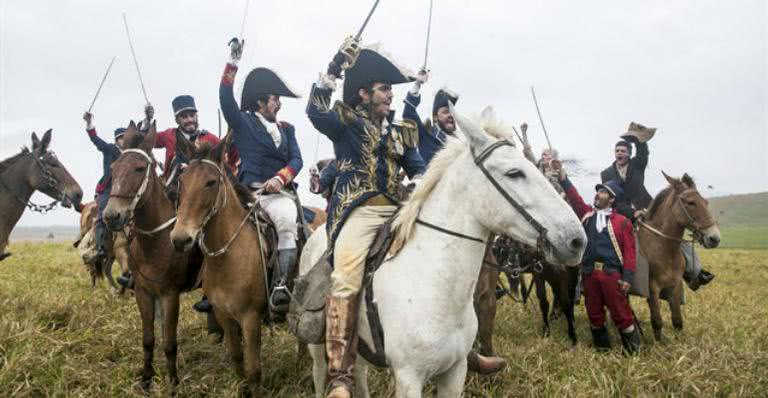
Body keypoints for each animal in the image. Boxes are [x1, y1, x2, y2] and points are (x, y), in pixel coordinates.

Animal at [103, 122, 204, 392]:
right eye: (114, 169)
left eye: (139, 168)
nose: (111, 216)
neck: (156, 241)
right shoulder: (144, 293)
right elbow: (148, 338)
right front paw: (146, 379)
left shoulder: (170, 295)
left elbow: (169, 342)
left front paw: (173, 383)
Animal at [170, 135, 268, 396]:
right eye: (182, 181)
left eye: (211, 182)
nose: (180, 239)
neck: (229, 259)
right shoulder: (225, 316)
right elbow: (237, 359)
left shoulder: (250, 318)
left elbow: (254, 371)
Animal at [302, 106, 588, 398]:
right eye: (514, 172)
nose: (577, 240)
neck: (437, 285)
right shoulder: (408, 377)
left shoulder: (455, 371)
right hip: (318, 344)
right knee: (321, 370)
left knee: (359, 372)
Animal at [636, 173, 720, 340]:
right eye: (691, 202)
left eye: (705, 202)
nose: (714, 238)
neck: (662, 248)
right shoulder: (652, 288)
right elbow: (657, 321)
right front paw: (658, 345)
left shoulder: (675, 285)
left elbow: (677, 321)